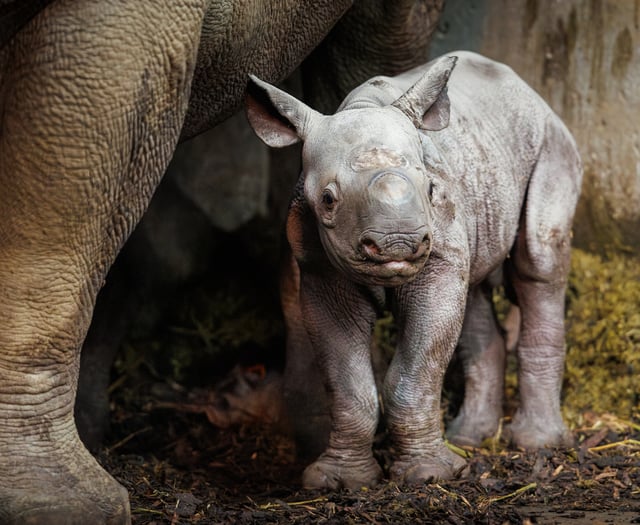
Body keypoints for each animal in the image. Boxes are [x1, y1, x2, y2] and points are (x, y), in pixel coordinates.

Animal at [246, 51, 582, 490]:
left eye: (431, 190)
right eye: (328, 199)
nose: (398, 244)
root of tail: (531, 93)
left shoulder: (436, 252)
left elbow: (416, 369)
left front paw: (429, 475)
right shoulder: (319, 270)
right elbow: (347, 383)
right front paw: (338, 481)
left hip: (550, 141)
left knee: (539, 261)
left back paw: (536, 444)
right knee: (473, 287)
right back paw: (469, 438)